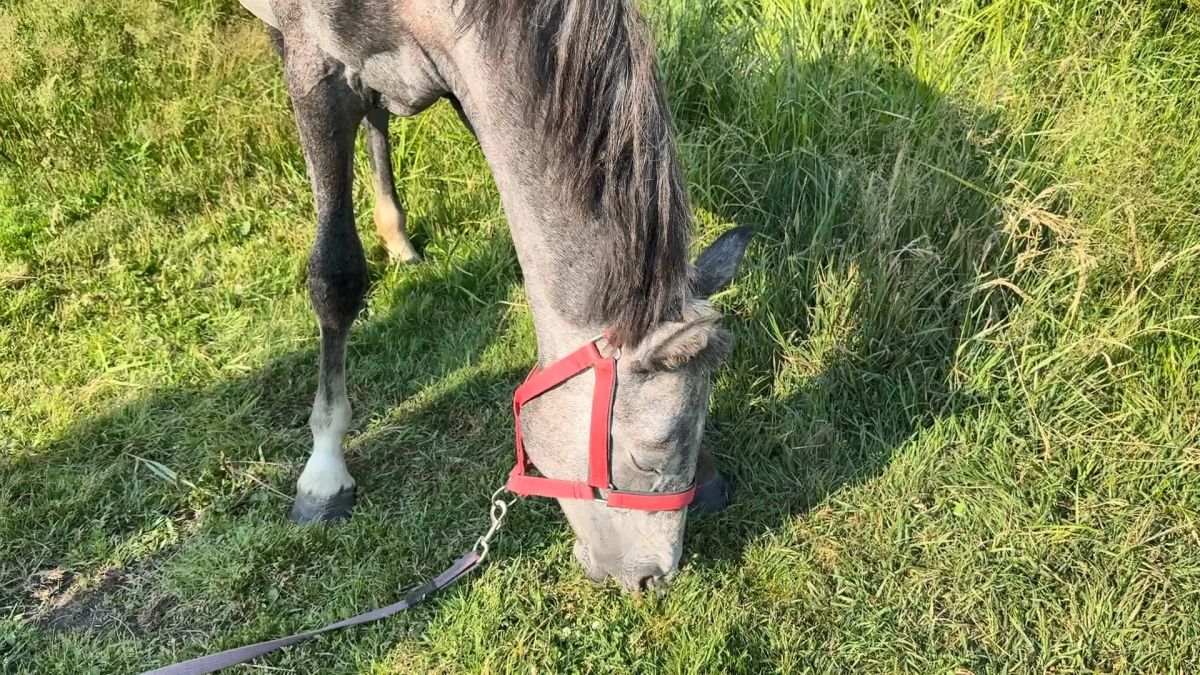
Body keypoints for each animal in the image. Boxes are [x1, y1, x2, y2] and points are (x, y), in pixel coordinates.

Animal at [239, 0, 752, 592]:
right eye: (647, 460)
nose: (654, 578)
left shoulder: (463, 81)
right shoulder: (314, 70)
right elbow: (336, 278)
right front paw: (323, 471)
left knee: (377, 120)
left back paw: (396, 235)